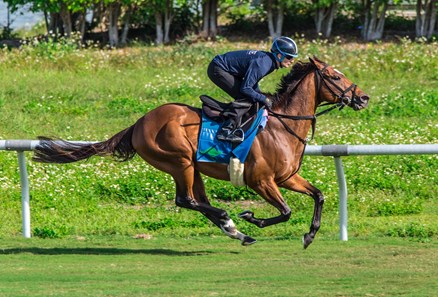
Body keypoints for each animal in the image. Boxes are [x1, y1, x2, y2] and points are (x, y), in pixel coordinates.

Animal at [33, 55, 370, 247]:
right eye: (335, 76)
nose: (363, 97)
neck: (282, 124)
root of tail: (139, 122)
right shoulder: (261, 180)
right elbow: (285, 212)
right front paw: (251, 216)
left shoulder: (286, 177)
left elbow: (319, 195)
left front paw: (309, 235)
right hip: (179, 161)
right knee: (187, 200)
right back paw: (231, 221)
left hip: (192, 167)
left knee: (198, 201)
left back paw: (235, 231)